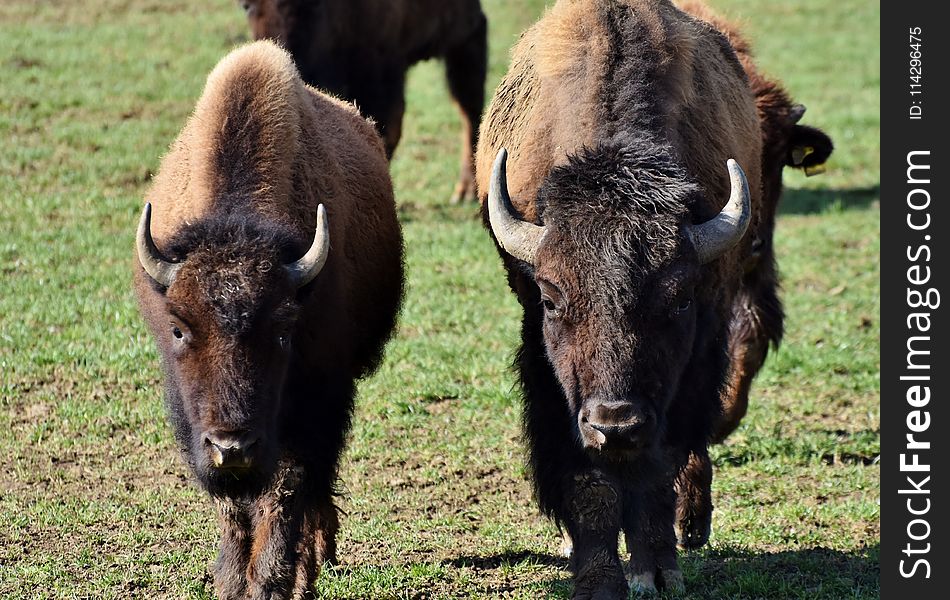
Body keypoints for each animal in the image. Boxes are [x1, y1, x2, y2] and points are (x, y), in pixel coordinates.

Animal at [133, 39, 402, 596]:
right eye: (178, 328)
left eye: (283, 332)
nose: (232, 446)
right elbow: (233, 501)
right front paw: (231, 580)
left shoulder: (314, 394)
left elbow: (288, 487)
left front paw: (274, 582)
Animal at [238, 0, 490, 204]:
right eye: (246, 5)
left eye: (311, 6)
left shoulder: (383, 77)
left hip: (465, 39)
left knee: (469, 110)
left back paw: (465, 192)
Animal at [476, 0, 832, 596]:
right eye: (551, 298)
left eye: (679, 298)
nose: (615, 423)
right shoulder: (549, 373)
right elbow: (586, 474)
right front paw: (598, 578)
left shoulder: (698, 351)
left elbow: (663, 460)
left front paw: (657, 569)